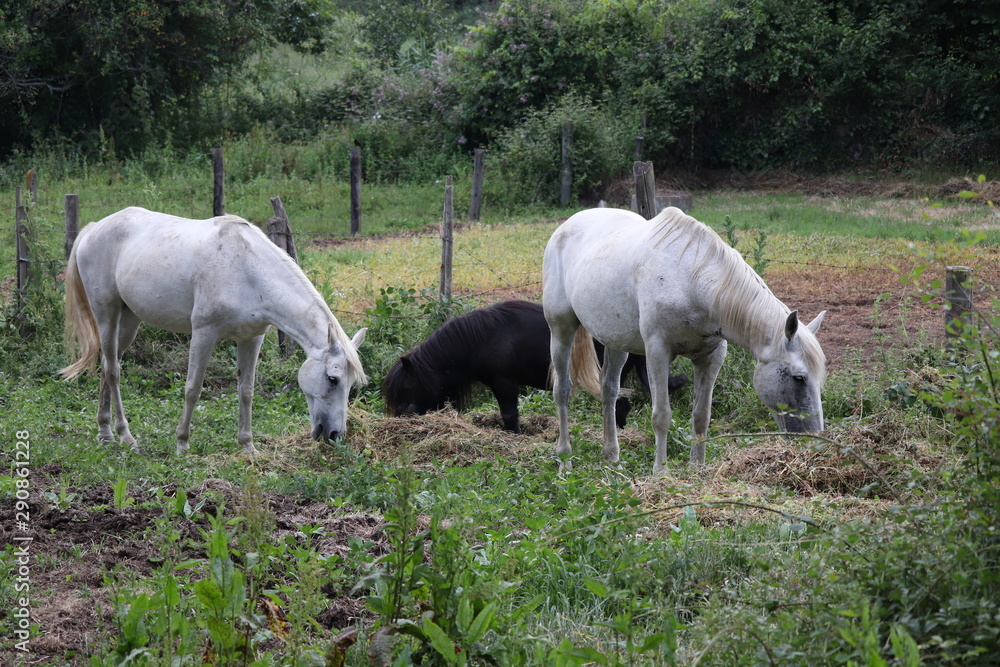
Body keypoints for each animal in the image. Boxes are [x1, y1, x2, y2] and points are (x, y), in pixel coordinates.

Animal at [61, 209, 368, 456]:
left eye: (352, 383)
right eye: (332, 379)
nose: (334, 435)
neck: (248, 270)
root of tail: (93, 228)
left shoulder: (251, 338)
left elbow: (246, 391)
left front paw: (248, 446)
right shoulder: (204, 333)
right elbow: (193, 388)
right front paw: (182, 444)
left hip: (129, 320)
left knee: (106, 363)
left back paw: (105, 433)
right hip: (106, 314)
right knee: (113, 370)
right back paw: (126, 436)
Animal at [544, 206, 824, 472]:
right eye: (799, 378)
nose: (814, 439)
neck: (691, 281)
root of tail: (566, 226)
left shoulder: (710, 358)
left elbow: (701, 416)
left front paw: (697, 469)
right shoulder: (657, 352)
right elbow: (661, 416)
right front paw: (661, 473)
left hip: (616, 342)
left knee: (609, 391)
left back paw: (613, 459)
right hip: (561, 329)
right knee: (562, 390)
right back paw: (565, 460)